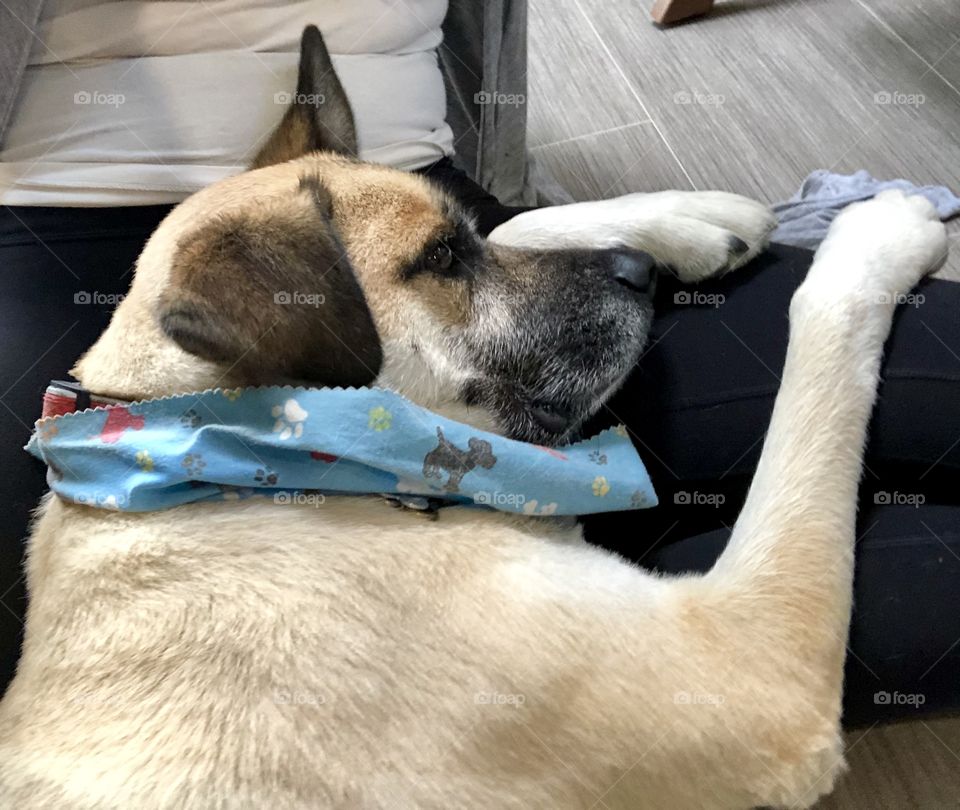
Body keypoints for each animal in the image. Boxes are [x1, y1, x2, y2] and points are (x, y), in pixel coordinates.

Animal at [0, 25, 948, 808]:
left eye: (460, 240)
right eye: (439, 260)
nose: (640, 274)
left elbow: (526, 220)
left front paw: (695, 218)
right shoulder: (753, 668)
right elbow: (817, 360)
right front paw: (878, 237)